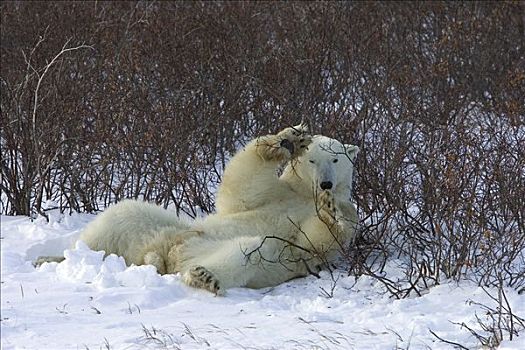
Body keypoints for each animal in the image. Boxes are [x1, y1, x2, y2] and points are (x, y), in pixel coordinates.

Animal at [35, 124, 356, 294]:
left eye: (336, 159)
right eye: (312, 159)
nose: (326, 184)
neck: (303, 193)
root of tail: (162, 256)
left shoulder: (321, 224)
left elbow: (315, 241)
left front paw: (331, 210)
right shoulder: (275, 193)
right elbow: (241, 189)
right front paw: (288, 139)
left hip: (205, 250)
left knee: (252, 250)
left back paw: (205, 276)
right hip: (164, 226)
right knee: (120, 217)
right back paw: (51, 258)